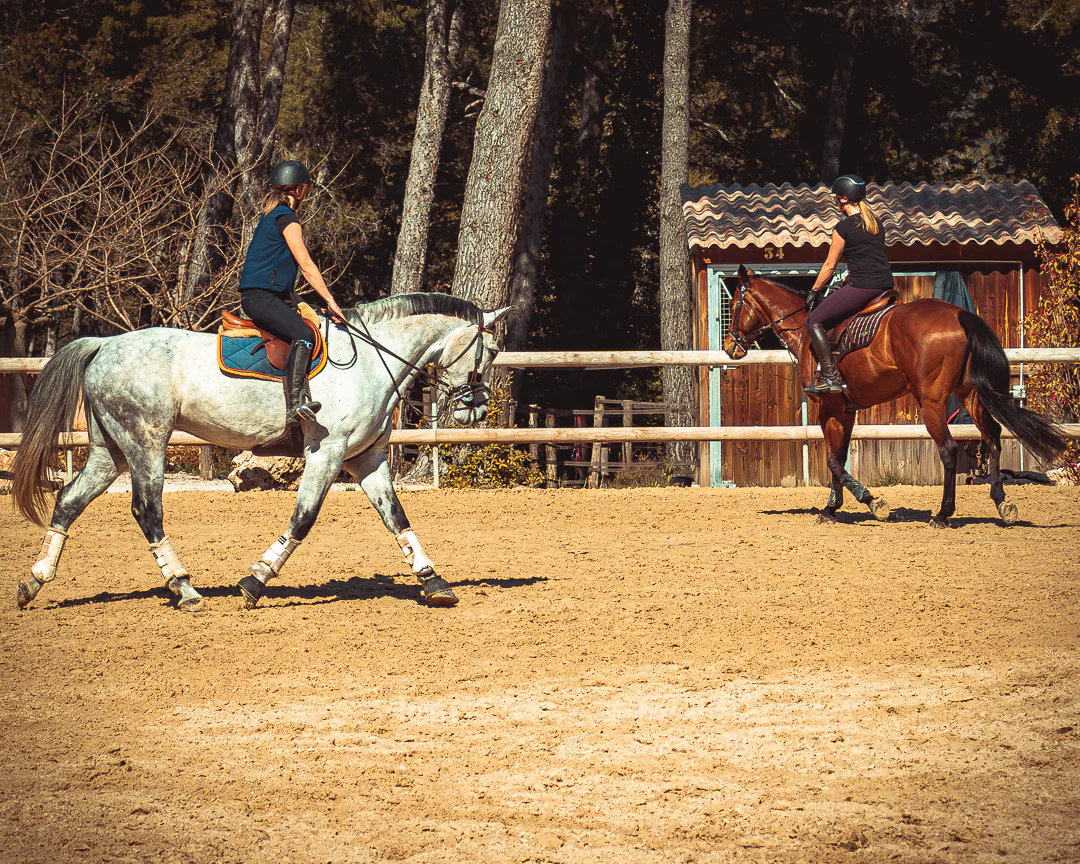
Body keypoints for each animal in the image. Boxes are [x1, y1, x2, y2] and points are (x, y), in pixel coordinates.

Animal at [12, 293, 510, 611]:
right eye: (491, 350)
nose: (477, 408)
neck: (371, 359)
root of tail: (104, 345)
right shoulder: (327, 454)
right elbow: (303, 519)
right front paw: (255, 580)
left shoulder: (366, 459)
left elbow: (397, 518)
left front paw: (434, 581)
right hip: (145, 442)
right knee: (146, 510)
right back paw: (185, 589)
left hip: (109, 449)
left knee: (69, 500)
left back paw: (34, 581)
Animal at [723, 265, 1066, 527]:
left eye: (735, 304)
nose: (729, 347)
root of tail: (958, 315)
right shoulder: (846, 410)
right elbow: (839, 457)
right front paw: (833, 508)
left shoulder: (829, 407)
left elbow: (833, 460)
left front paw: (870, 501)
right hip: (969, 394)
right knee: (992, 438)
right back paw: (1001, 503)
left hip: (931, 402)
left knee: (949, 450)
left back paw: (943, 514)